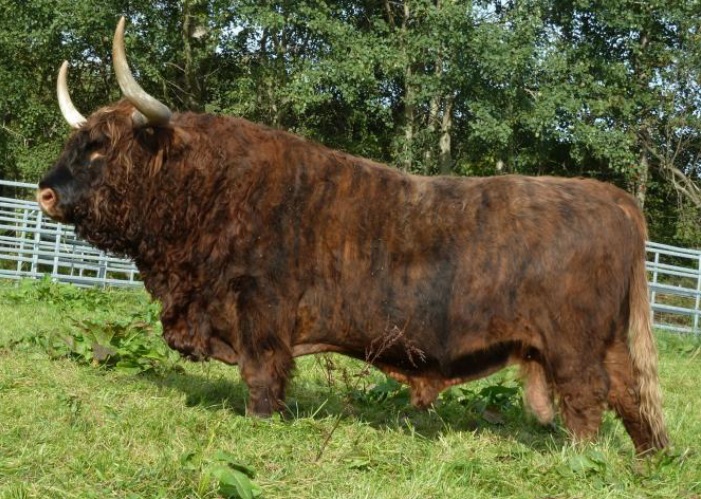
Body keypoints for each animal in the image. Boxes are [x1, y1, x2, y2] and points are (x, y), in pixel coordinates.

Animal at [37, 17, 668, 453]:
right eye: (77, 140)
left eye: (100, 147)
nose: (44, 191)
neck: (209, 189)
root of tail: (613, 199)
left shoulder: (260, 311)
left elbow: (262, 376)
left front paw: (260, 423)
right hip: (605, 342)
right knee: (630, 395)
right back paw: (645, 460)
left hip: (573, 344)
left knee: (587, 400)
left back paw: (579, 460)